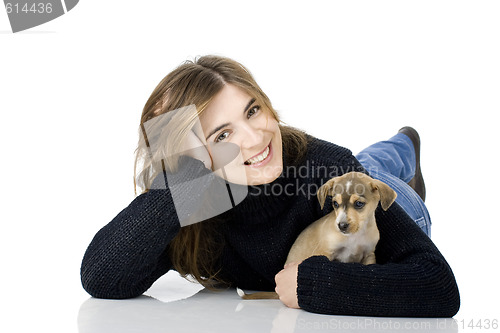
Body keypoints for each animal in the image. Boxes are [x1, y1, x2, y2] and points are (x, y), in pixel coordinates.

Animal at [236, 171, 396, 298]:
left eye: (359, 204)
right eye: (335, 204)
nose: (341, 225)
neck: (354, 237)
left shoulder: (369, 255)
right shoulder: (326, 253)